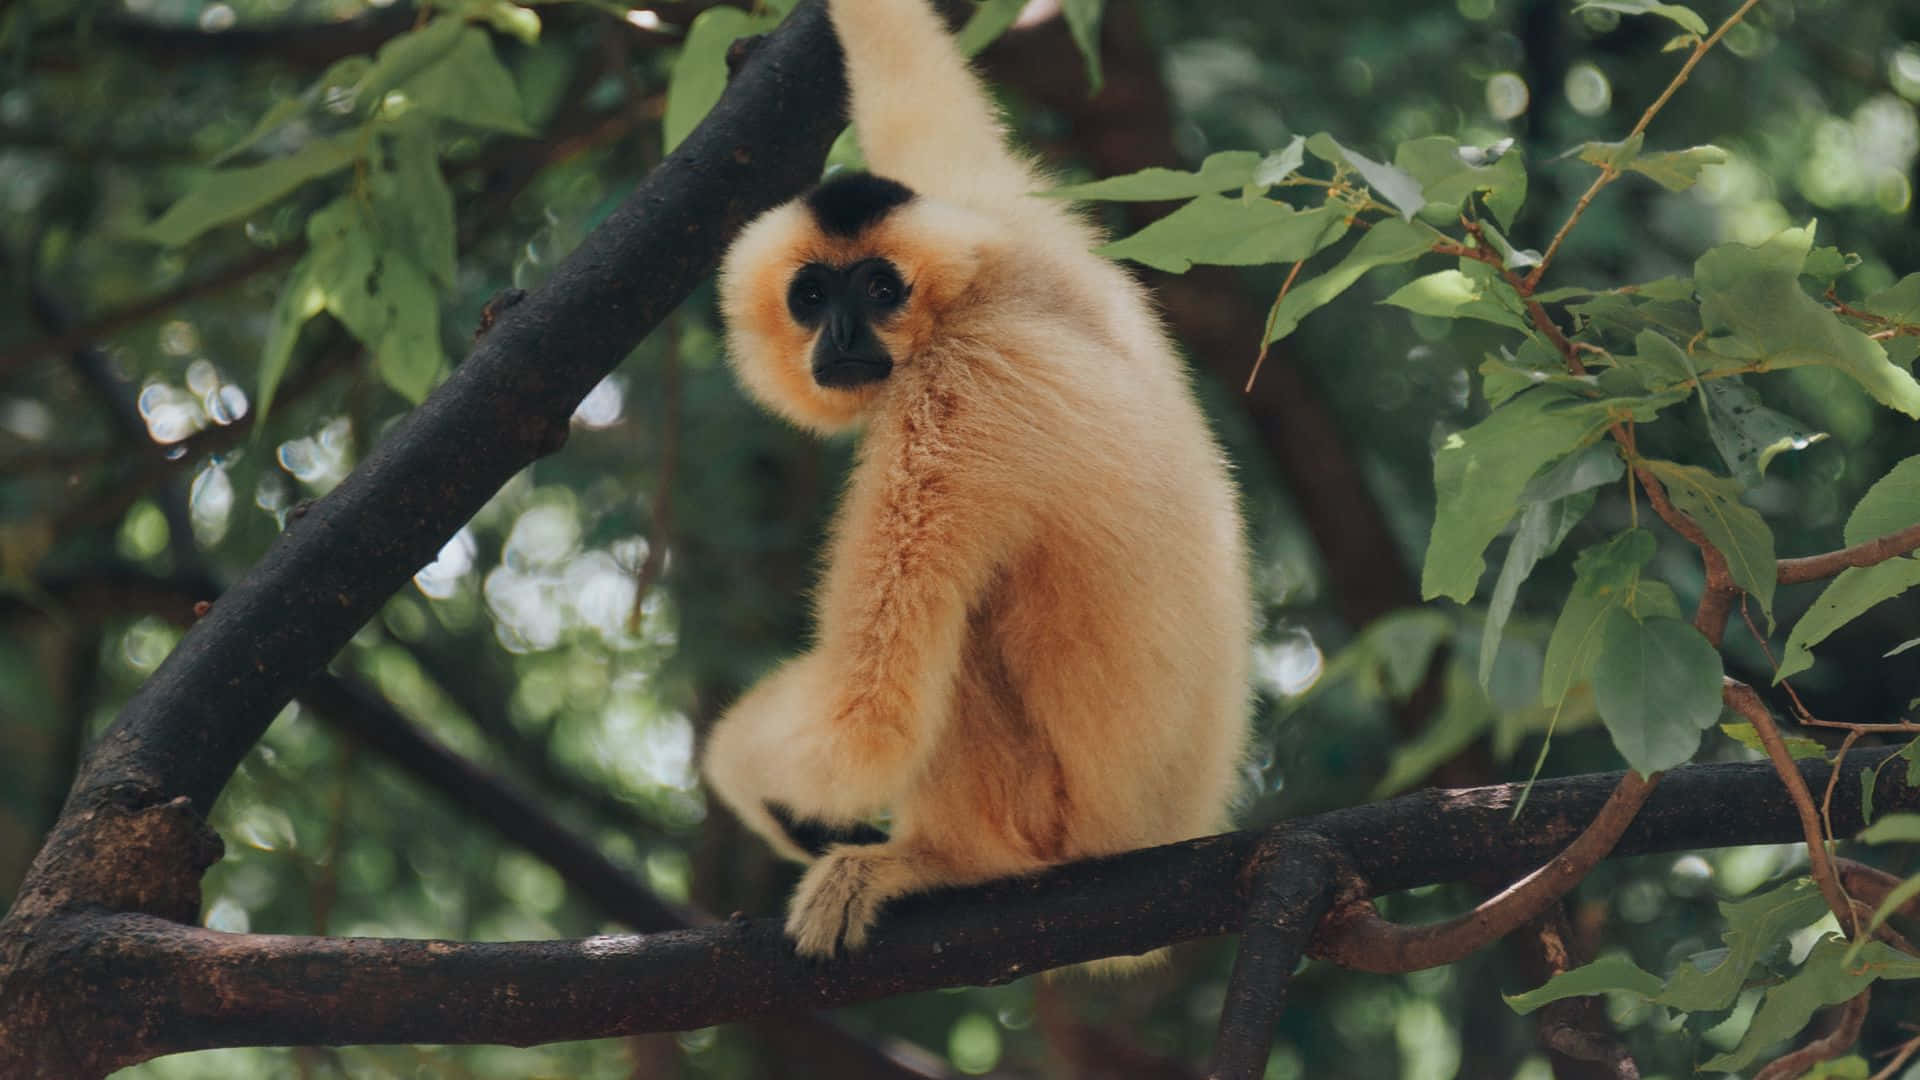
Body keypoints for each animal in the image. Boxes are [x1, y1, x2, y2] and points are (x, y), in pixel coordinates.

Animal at [699, 0, 1251, 961]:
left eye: (880, 289)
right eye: (812, 297)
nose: (842, 333)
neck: (977, 302)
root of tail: (1164, 833)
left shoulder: (947, 411)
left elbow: (868, 721)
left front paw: (740, 769)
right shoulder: (1004, 219)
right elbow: (922, 98)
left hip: (1046, 819)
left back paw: (934, 863)